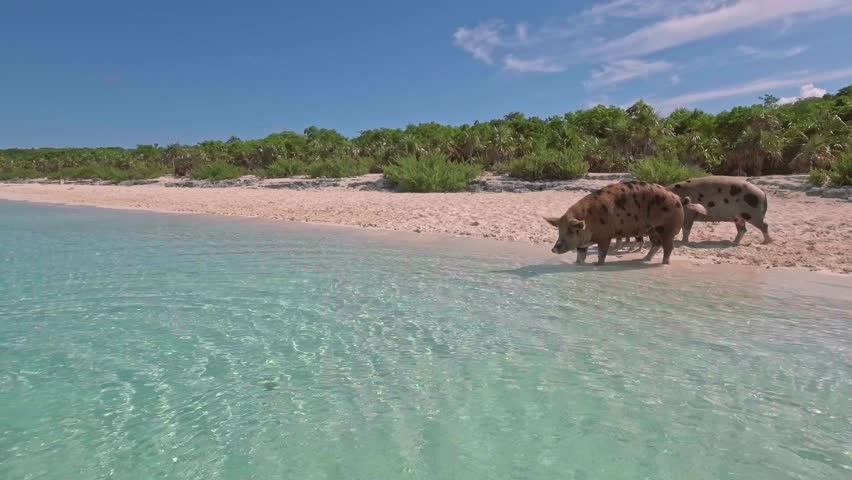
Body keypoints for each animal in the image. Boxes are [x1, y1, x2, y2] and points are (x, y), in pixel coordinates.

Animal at [545, 181, 705, 265]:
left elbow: (602, 252)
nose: (553, 249)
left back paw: (663, 263)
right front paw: (577, 264)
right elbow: (580, 254)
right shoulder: (583, 243)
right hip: (652, 230)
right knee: (656, 244)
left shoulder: (605, 236)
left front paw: (597, 264)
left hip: (667, 229)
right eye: (559, 230)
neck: (589, 219)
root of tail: (678, 198)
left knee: (668, 247)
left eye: (571, 230)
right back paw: (644, 259)